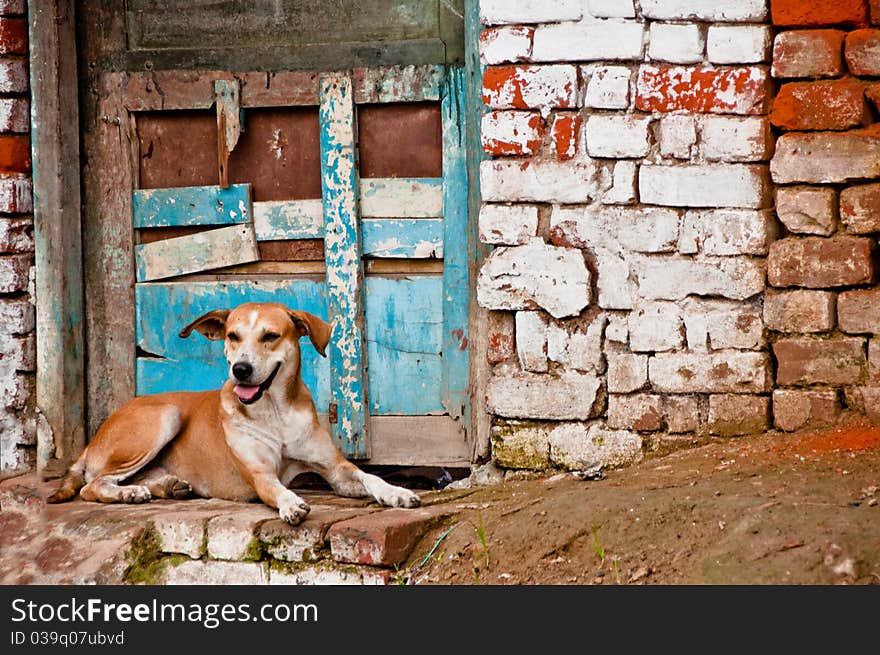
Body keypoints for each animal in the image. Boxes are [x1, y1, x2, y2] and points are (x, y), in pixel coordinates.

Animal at [47, 304, 420, 528]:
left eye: (270, 336)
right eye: (232, 336)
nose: (240, 369)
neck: (275, 412)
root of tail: (91, 442)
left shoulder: (337, 470)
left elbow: (369, 477)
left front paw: (396, 492)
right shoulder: (260, 474)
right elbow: (277, 489)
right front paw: (290, 503)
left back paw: (165, 485)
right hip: (164, 416)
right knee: (92, 485)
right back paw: (127, 493)